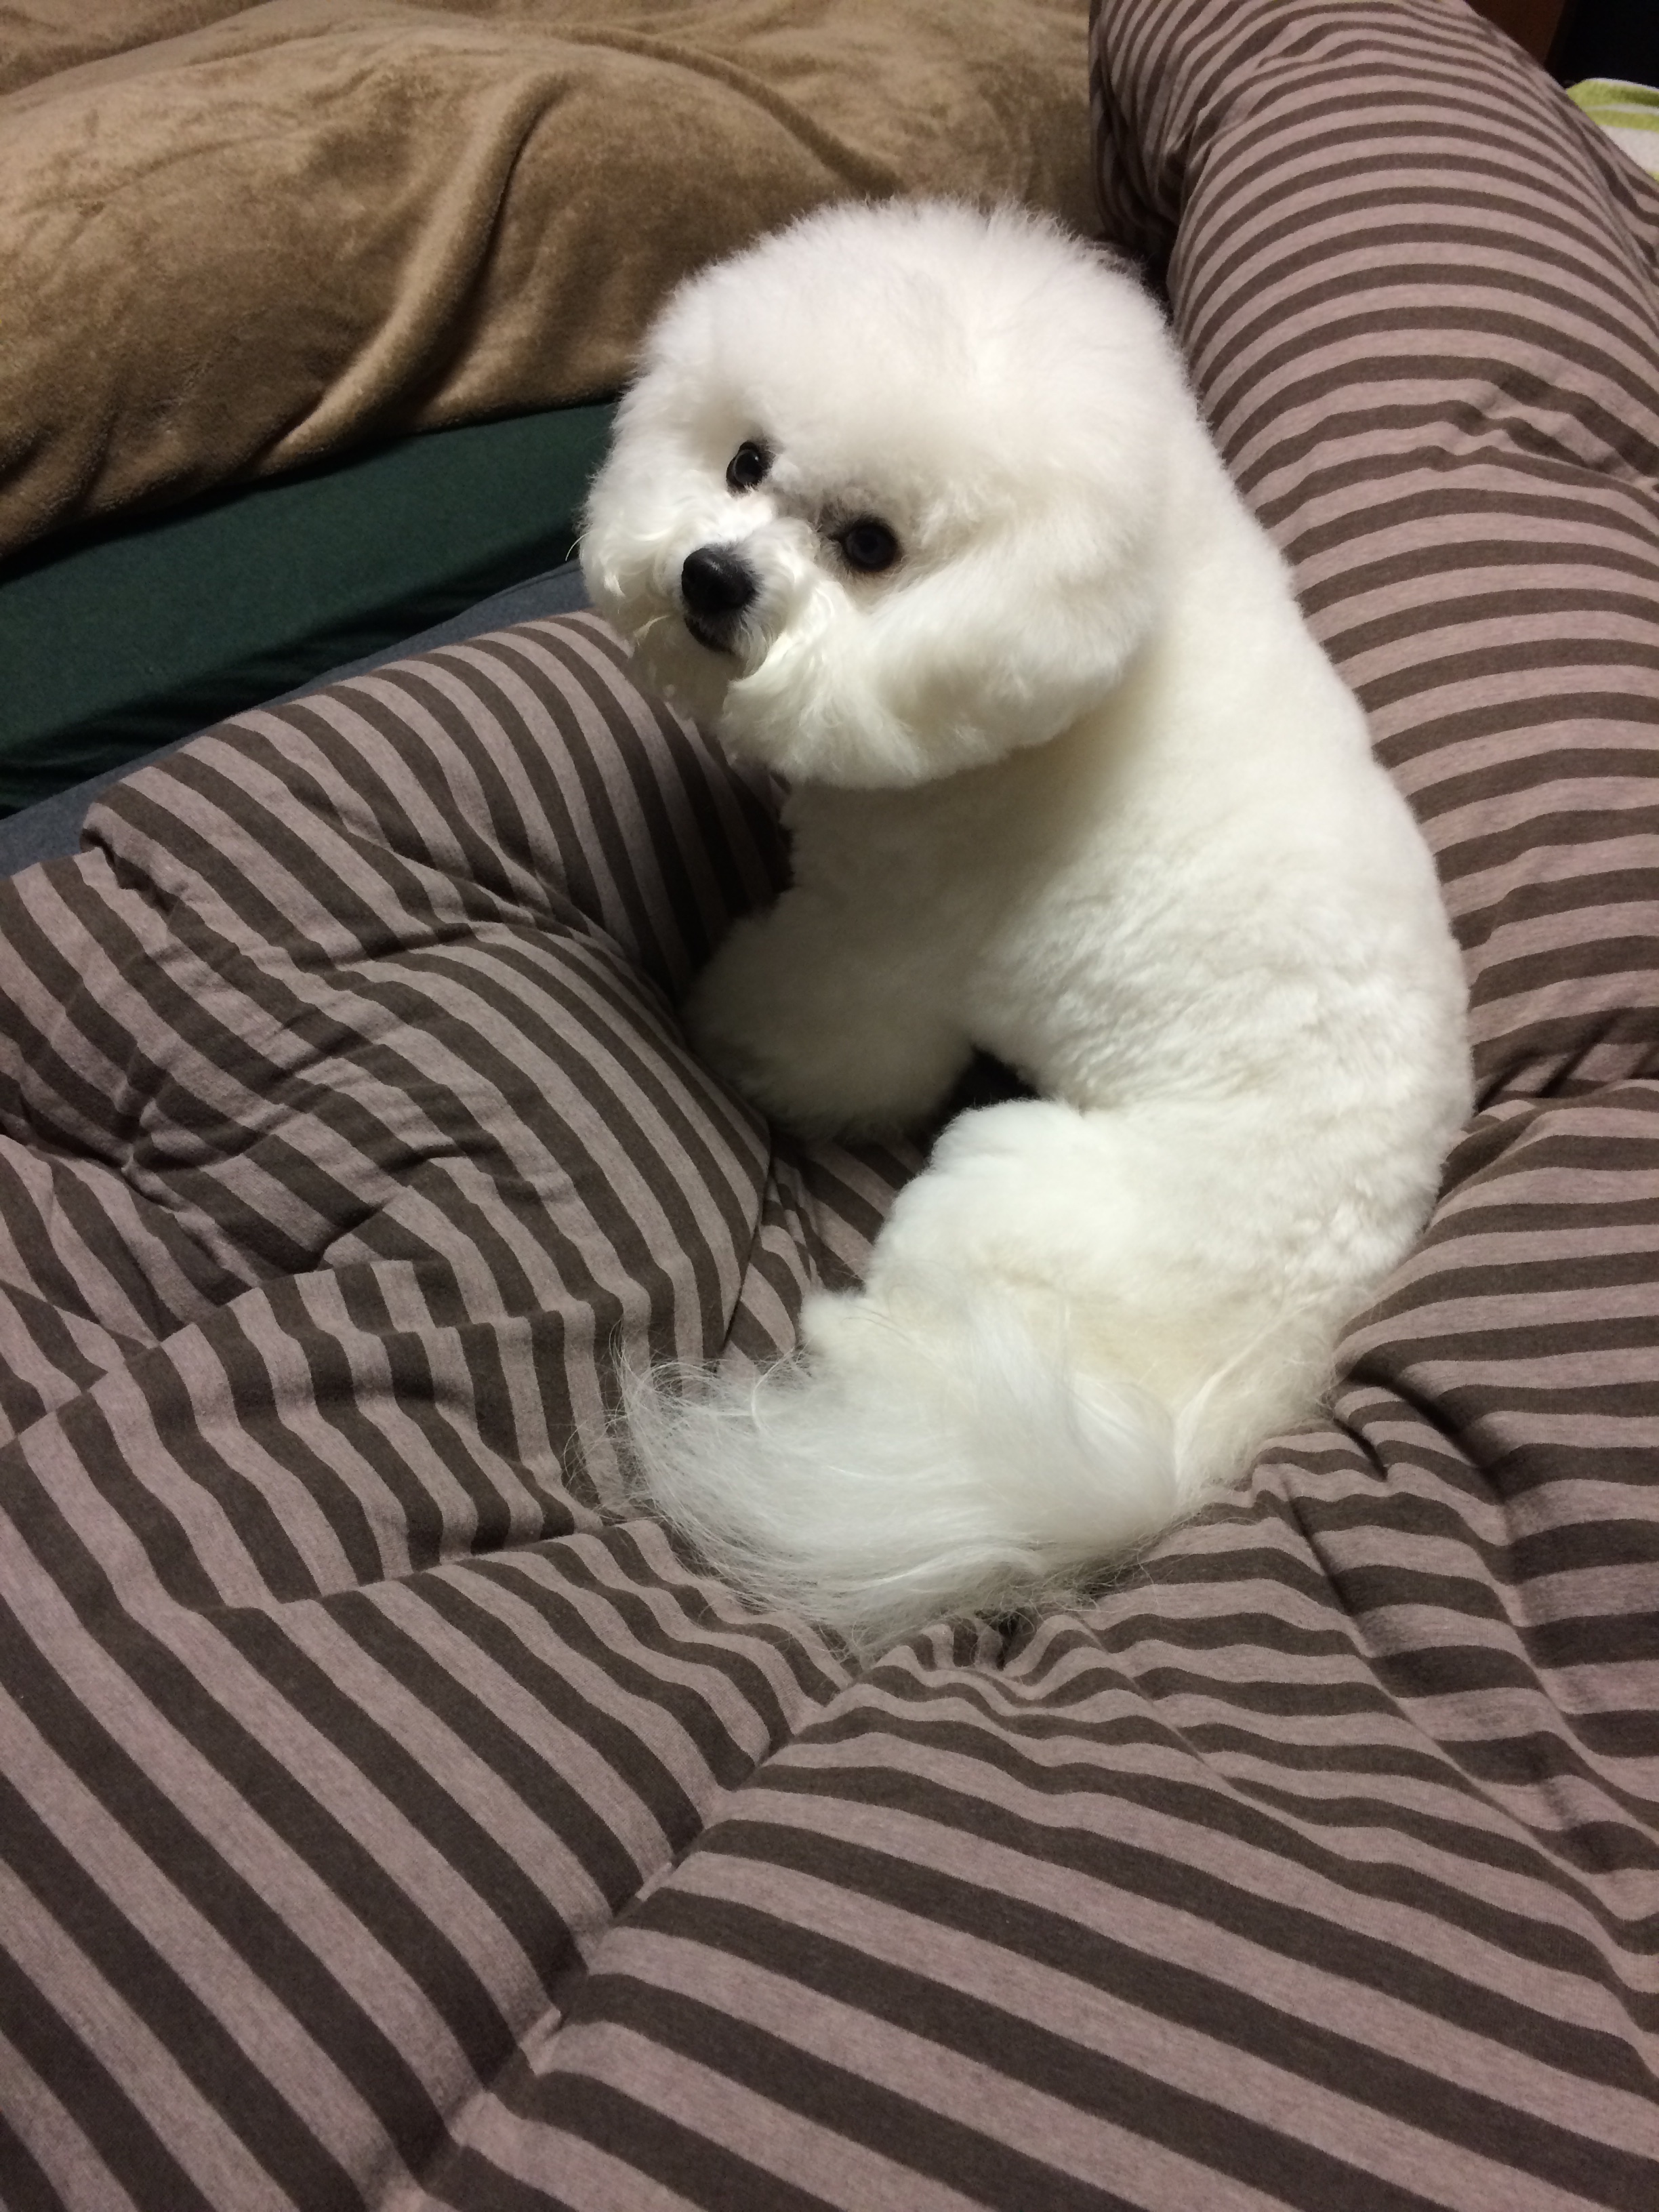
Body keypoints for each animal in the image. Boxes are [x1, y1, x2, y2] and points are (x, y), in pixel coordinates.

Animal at [579, 199, 1472, 1657]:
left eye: (869, 545)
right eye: (744, 461)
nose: (711, 577)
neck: (1120, 610)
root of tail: (1247, 1386)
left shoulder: (880, 939)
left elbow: (826, 1030)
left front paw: (726, 1035)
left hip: (993, 1187)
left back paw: (845, 1334)